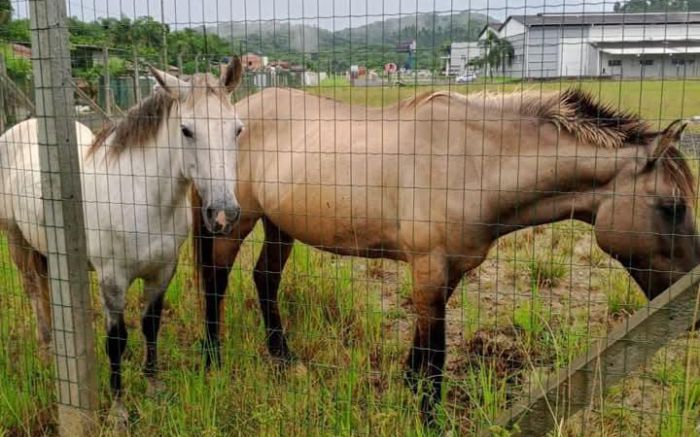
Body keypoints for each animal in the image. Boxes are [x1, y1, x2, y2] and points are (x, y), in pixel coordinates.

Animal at [0, 56, 243, 418]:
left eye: (237, 129)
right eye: (186, 130)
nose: (224, 214)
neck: (140, 196)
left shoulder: (161, 272)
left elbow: (150, 325)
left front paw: (154, 387)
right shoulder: (113, 280)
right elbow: (116, 340)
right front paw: (118, 410)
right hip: (16, 238)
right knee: (32, 289)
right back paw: (45, 350)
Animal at [193, 87, 700, 420]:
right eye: (672, 207)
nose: (691, 313)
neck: (473, 165)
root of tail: (236, 112)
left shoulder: (448, 272)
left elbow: (423, 348)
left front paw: (410, 392)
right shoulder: (429, 267)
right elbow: (435, 354)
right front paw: (427, 415)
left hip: (280, 225)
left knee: (265, 280)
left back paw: (283, 358)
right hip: (236, 219)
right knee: (217, 279)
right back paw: (212, 359)